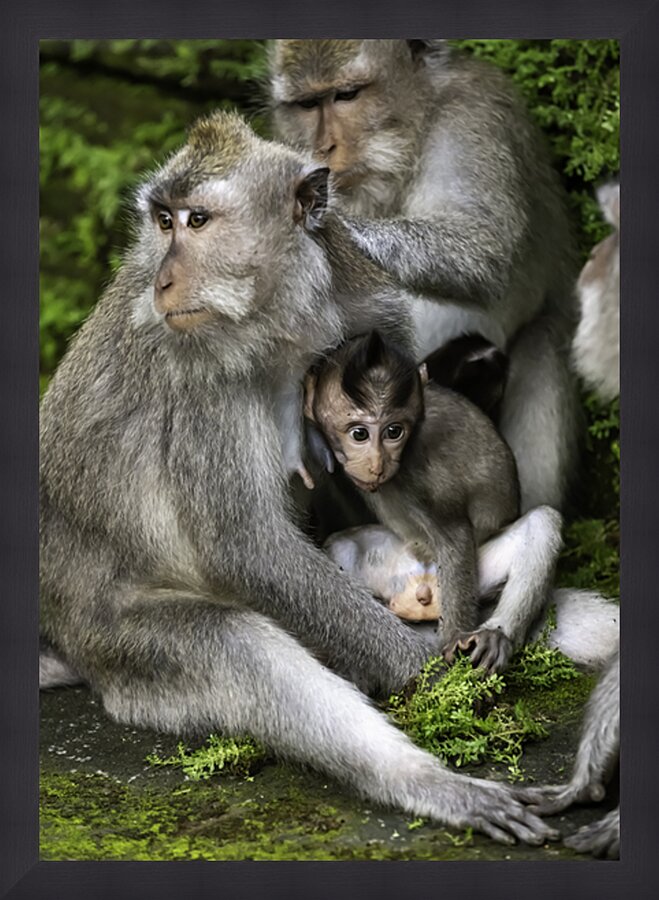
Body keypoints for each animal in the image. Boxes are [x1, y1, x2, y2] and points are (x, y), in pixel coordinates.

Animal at [269, 39, 582, 513]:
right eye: (307, 104)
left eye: (347, 95)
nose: (324, 147)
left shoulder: (475, 115)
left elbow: (483, 245)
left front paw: (330, 228)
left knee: (540, 341)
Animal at [304, 330, 567, 673]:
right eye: (359, 434)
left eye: (394, 431)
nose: (376, 463)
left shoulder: (416, 471)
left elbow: (455, 533)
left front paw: (454, 642)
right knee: (341, 546)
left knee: (542, 521)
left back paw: (496, 636)